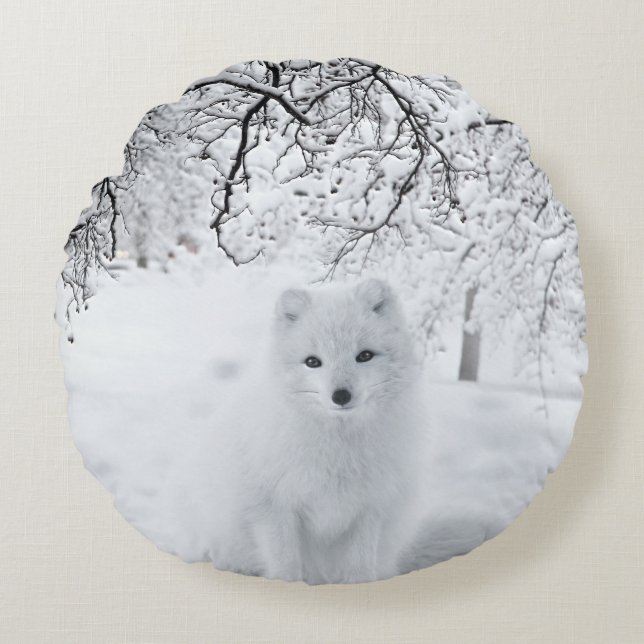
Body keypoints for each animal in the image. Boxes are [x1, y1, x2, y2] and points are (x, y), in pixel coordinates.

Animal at [230, 278, 426, 584]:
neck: (337, 449)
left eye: (364, 356)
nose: (341, 395)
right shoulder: (272, 506)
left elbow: (359, 567)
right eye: (312, 362)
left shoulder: (370, 509)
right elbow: (286, 566)